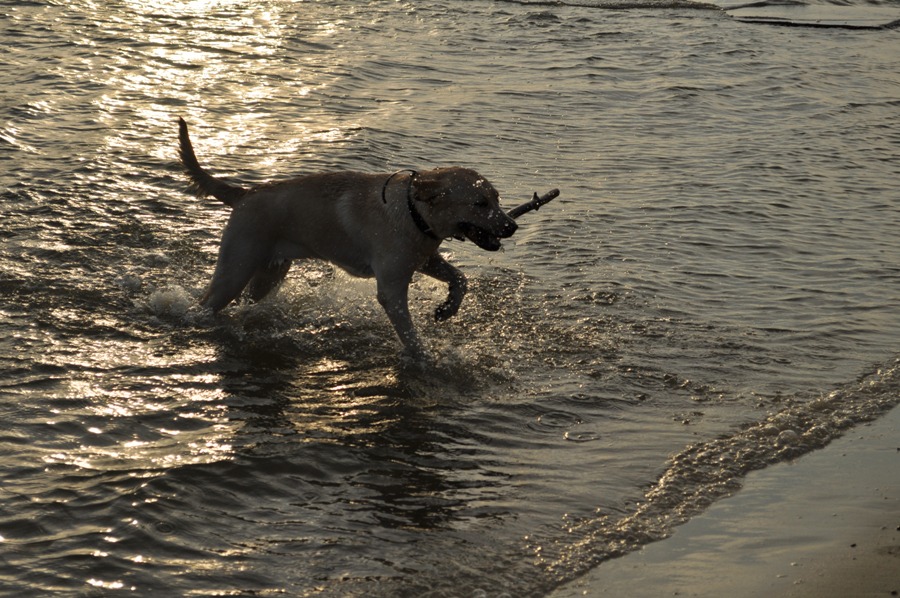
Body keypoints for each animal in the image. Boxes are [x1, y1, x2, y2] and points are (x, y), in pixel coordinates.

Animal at [176, 119, 516, 358]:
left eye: (496, 199)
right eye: (480, 203)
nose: (512, 226)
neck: (413, 211)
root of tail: (244, 193)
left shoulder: (425, 260)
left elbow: (460, 279)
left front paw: (448, 308)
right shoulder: (392, 287)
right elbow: (409, 332)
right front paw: (424, 356)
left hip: (268, 274)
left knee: (247, 300)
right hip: (235, 269)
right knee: (204, 304)